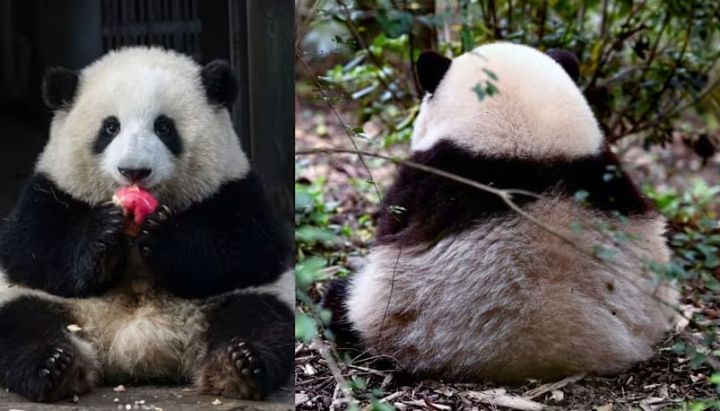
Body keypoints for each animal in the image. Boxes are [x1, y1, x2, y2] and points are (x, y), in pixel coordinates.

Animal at [0, 47, 293, 402]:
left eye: (164, 128)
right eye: (110, 128)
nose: (134, 171)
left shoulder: (234, 190)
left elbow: (250, 251)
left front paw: (163, 236)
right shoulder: (50, 190)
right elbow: (32, 251)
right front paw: (104, 231)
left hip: (235, 302)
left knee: (260, 320)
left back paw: (237, 365)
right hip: (43, 304)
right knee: (22, 325)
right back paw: (55, 367)